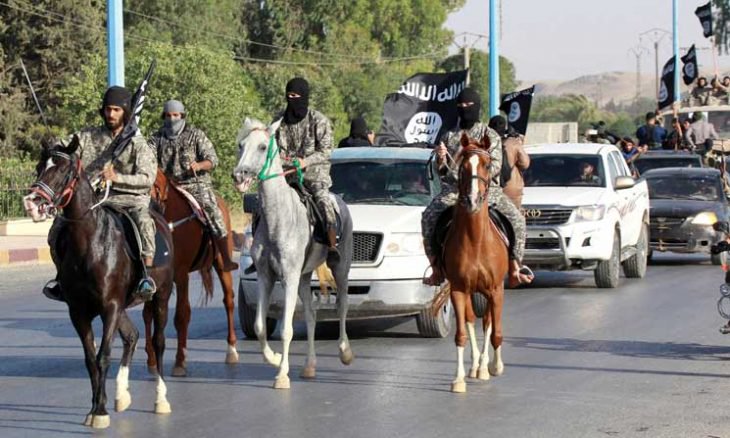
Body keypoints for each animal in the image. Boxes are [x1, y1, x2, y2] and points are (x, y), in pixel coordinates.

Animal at [23, 137, 174, 428]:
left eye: (63, 170)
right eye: (38, 166)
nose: (32, 203)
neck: (90, 243)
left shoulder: (110, 307)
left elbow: (103, 356)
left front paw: (100, 412)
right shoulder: (79, 311)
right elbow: (90, 359)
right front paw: (95, 407)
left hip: (161, 295)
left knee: (158, 342)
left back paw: (161, 399)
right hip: (124, 305)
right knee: (132, 336)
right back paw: (121, 395)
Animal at [150, 168, 239, 377]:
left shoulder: (181, 274)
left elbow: (182, 315)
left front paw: (180, 362)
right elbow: (148, 315)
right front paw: (152, 361)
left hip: (221, 265)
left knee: (229, 301)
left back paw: (231, 350)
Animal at [231, 117, 354, 389]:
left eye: (262, 147)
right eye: (241, 145)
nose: (238, 175)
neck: (278, 218)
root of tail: (340, 200)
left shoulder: (288, 277)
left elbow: (286, 329)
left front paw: (282, 375)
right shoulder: (266, 277)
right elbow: (259, 326)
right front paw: (275, 358)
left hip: (340, 269)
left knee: (342, 307)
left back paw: (345, 352)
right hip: (304, 278)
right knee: (311, 315)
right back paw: (309, 366)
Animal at [441, 133, 509, 393]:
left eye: (487, 165)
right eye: (463, 167)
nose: (472, 200)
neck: (476, 241)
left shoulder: (496, 289)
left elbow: (495, 330)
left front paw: (495, 366)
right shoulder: (458, 290)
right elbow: (461, 332)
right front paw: (459, 378)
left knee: (488, 321)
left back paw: (484, 366)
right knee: (472, 320)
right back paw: (474, 366)